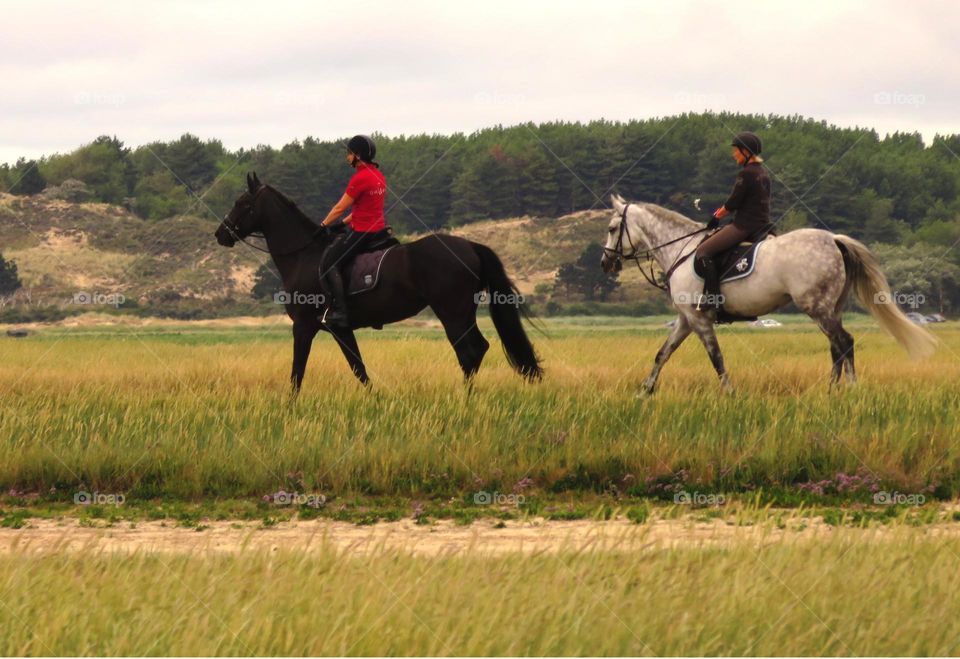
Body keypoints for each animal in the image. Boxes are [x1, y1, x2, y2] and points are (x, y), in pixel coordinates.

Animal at [215, 174, 544, 392]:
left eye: (242, 202)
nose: (221, 234)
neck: (303, 255)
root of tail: (470, 246)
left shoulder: (304, 326)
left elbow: (298, 372)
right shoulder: (341, 329)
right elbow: (358, 368)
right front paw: (374, 400)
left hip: (452, 312)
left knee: (470, 351)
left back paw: (465, 398)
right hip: (462, 313)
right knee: (477, 350)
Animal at [600, 193, 936, 394]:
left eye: (613, 228)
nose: (605, 263)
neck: (681, 249)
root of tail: (833, 239)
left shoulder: (699, 320)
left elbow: (716, 357)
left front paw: (728, 393)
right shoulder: (685, 319)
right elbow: (662, 353)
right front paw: (645, 391)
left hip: (817, 308)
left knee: (844, 342)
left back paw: (849, 388)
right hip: (830, 308)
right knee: (836, 347)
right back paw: (831, 390)